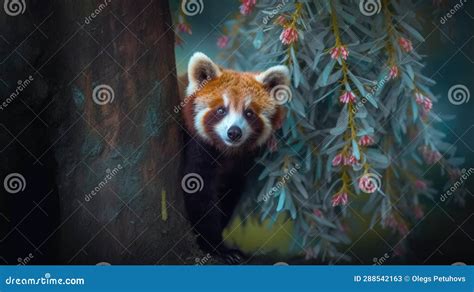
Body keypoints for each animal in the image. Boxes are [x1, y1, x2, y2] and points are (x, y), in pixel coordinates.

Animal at [180, 52, 288, 264]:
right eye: (221, 110)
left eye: (249, 113)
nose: (234, 132)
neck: (227, 152)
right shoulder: (199, 148)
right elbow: (199, 195)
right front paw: (215, 246)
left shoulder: (241, 164)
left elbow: (230, 193)